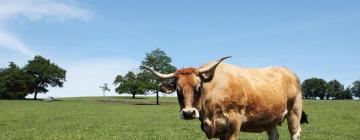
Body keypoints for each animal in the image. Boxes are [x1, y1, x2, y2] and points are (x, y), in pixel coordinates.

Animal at [140, 56, 306, 140]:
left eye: (198, 88)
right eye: (178, 90)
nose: (188, 113)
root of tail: (287, 70)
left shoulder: (234, 123)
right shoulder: (217, 130)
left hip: (294, 111)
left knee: (295, 133)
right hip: (270, 118)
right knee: (274, 135)